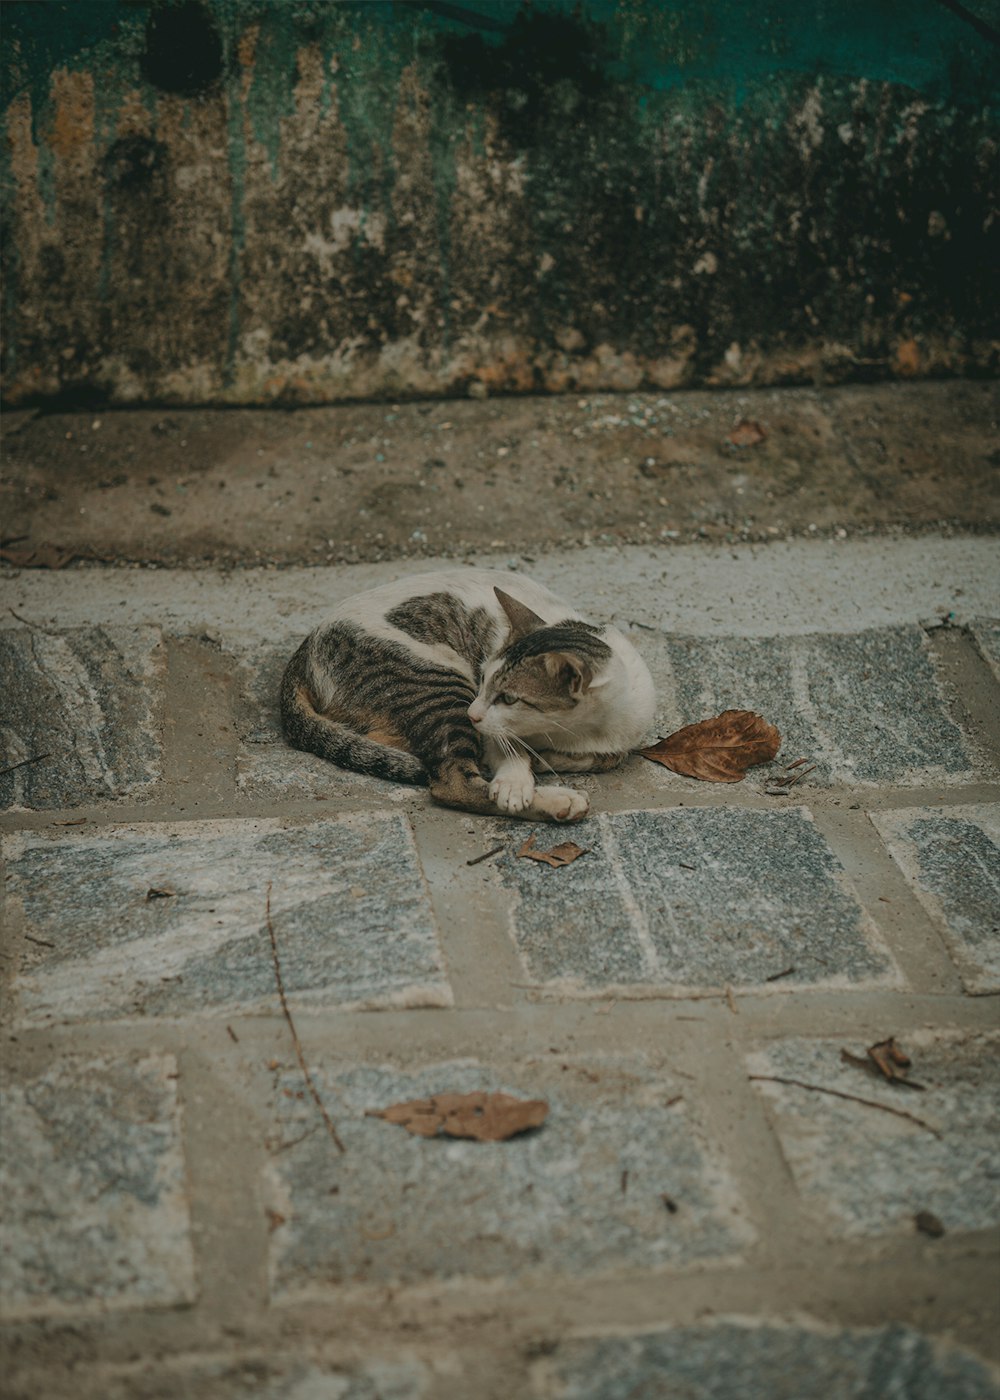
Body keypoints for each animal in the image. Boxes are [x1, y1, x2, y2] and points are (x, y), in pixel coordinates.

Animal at [280, 568, 655, 817]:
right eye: (484, 677)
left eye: (508, 698)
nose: (474, 712)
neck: (570, 732)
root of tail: (306, 647)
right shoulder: (486, 726)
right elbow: (508, 752)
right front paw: (516, 782)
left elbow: (609, 756)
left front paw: (549, 759)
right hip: (440, 684)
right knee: (453, 784)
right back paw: (556, 801)